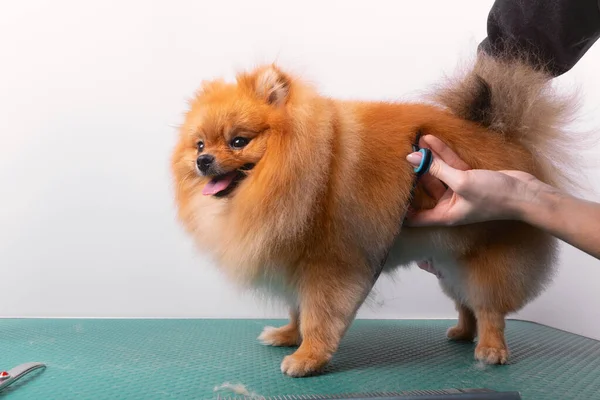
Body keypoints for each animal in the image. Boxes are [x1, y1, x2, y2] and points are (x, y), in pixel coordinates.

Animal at [170, 54, 576, 378]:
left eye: (239, 141)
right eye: (200, 143)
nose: (203, 160)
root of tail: (508, 139)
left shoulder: (330, 265)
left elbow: (317, 315)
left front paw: (308, 357)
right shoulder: (295, 263)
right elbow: (296, 309)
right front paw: (287, 335)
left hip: (484, 259)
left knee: (489, 308)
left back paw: (490, 348)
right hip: (448, 261)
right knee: (466, 303)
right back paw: (463, 332)